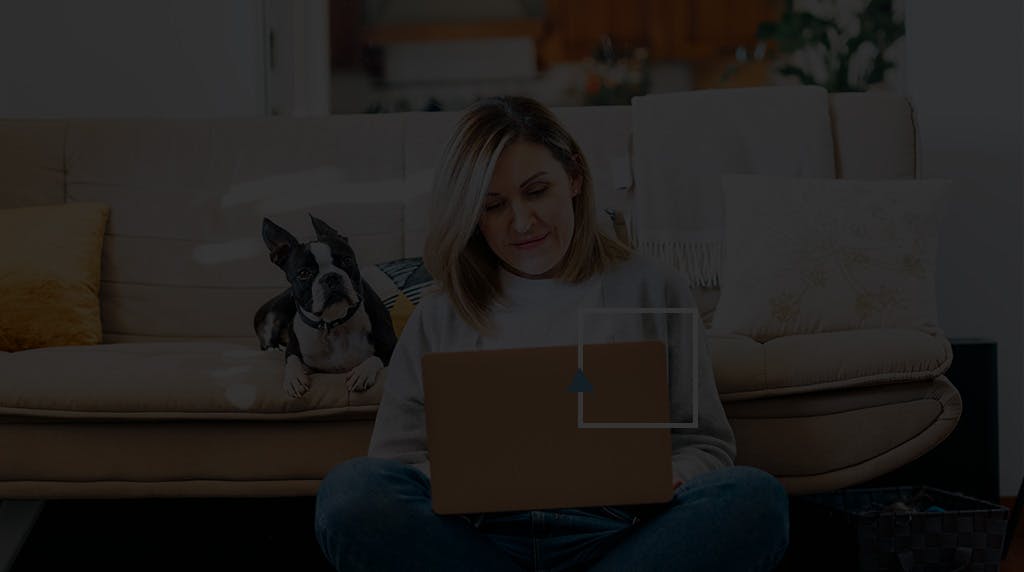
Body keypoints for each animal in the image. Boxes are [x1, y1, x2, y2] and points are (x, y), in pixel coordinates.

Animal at [254, 214, 395, 399]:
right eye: (304, 273)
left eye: (347, 260)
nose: (331, 277)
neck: (333, 322)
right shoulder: (294, 350)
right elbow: (291, 360)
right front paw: (294, 378)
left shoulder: (392, 344)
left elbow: (375, 358)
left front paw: (361, 373)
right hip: (276, 311)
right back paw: (274, 349)